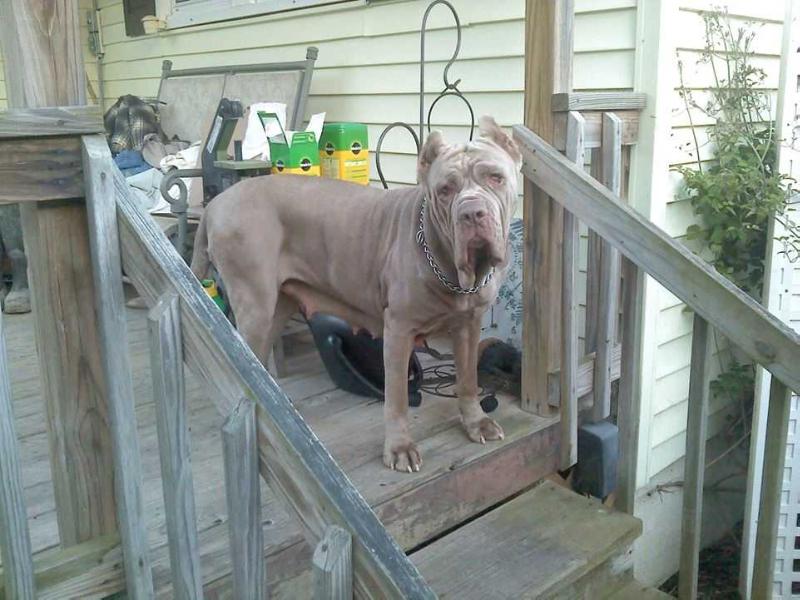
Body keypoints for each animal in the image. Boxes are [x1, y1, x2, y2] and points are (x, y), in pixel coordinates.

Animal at [191, 115, 520, 472]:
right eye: (445, 190)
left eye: (495, 177)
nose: (472, 212)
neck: (449, 266)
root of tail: (216, 204)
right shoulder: (399, 330)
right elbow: (397, 398)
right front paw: (399, 447)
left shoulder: (469, 325)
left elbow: (468, 379)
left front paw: (476, 423)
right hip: (255, 305)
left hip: (277, 306)